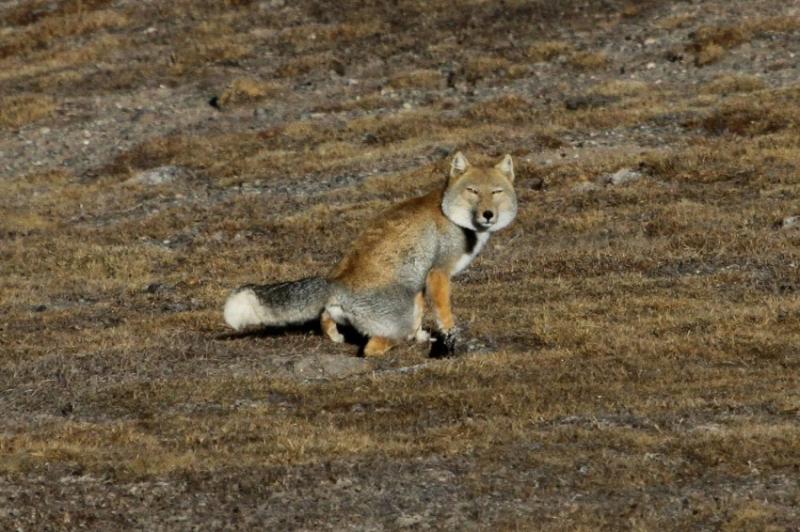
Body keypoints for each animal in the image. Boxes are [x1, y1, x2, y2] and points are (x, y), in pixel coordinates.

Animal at [223, 152, 520, 356]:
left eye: (496, 192)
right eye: (472, 191)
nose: (488, 214)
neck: (450, 215)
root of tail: (337, 283)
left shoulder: (418, 283)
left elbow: (420, 316)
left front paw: (421, 336)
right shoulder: (438, 272)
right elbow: (443, 312)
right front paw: (449, 333)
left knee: (326, 317)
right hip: (396, 319)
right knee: (371, 348)